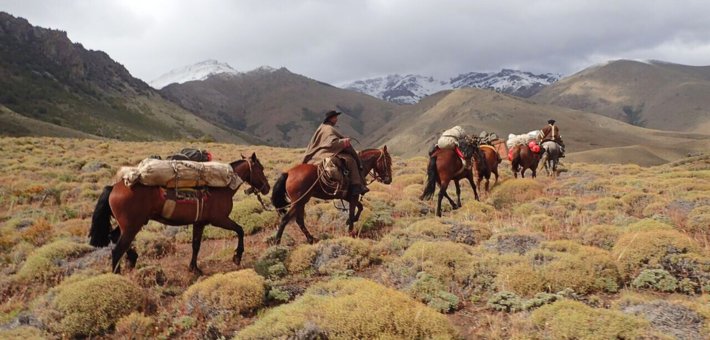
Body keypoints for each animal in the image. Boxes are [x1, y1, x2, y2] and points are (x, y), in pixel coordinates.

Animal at [90, 153, 272, 274]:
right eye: (261, 168)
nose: (267, 188)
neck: (224, 187)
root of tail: (114, 186)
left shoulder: (200, 223)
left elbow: (196, 245)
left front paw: (194, 268)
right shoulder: (220, 219)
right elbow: (240, 230)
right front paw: (237, 256)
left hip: (128, 225)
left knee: (114, 238)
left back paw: (132, 259)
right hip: (131, 226)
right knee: (117, 250)